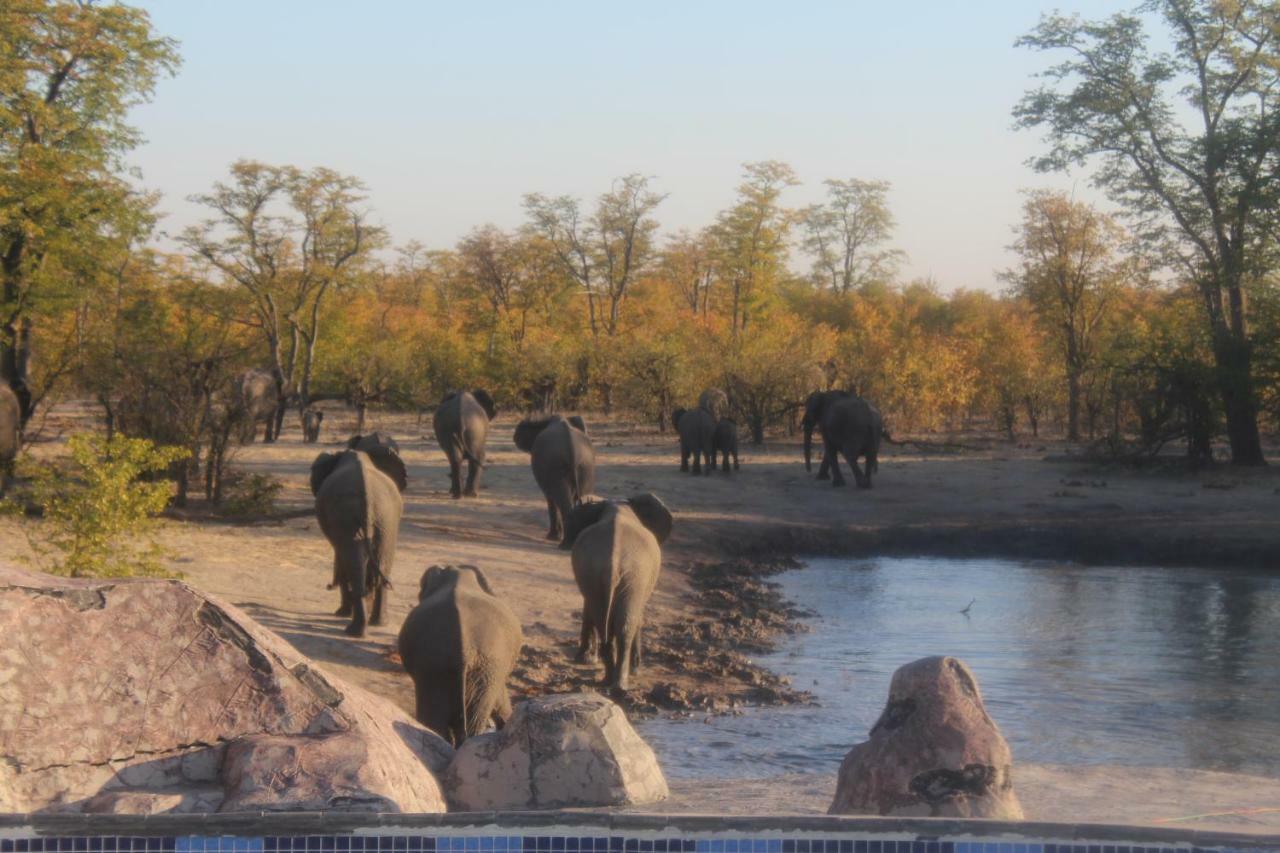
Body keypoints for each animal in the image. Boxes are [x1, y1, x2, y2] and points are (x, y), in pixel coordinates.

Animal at [309, 445, 404, 630]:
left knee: (352, 563)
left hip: (347, 517)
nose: (328, 585)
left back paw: (354, 628)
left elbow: (341, 558)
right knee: (382, 564)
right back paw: (378, 623)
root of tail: (367, 497)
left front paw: (341, 613)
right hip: (386, 520)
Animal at [563, 494, 675, 686]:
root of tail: (613, 564)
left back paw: (613, 682)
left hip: (606, 575)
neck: (617, 504)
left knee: (606, 624)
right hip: (630, 577)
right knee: (618, 624)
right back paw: (618, 682)